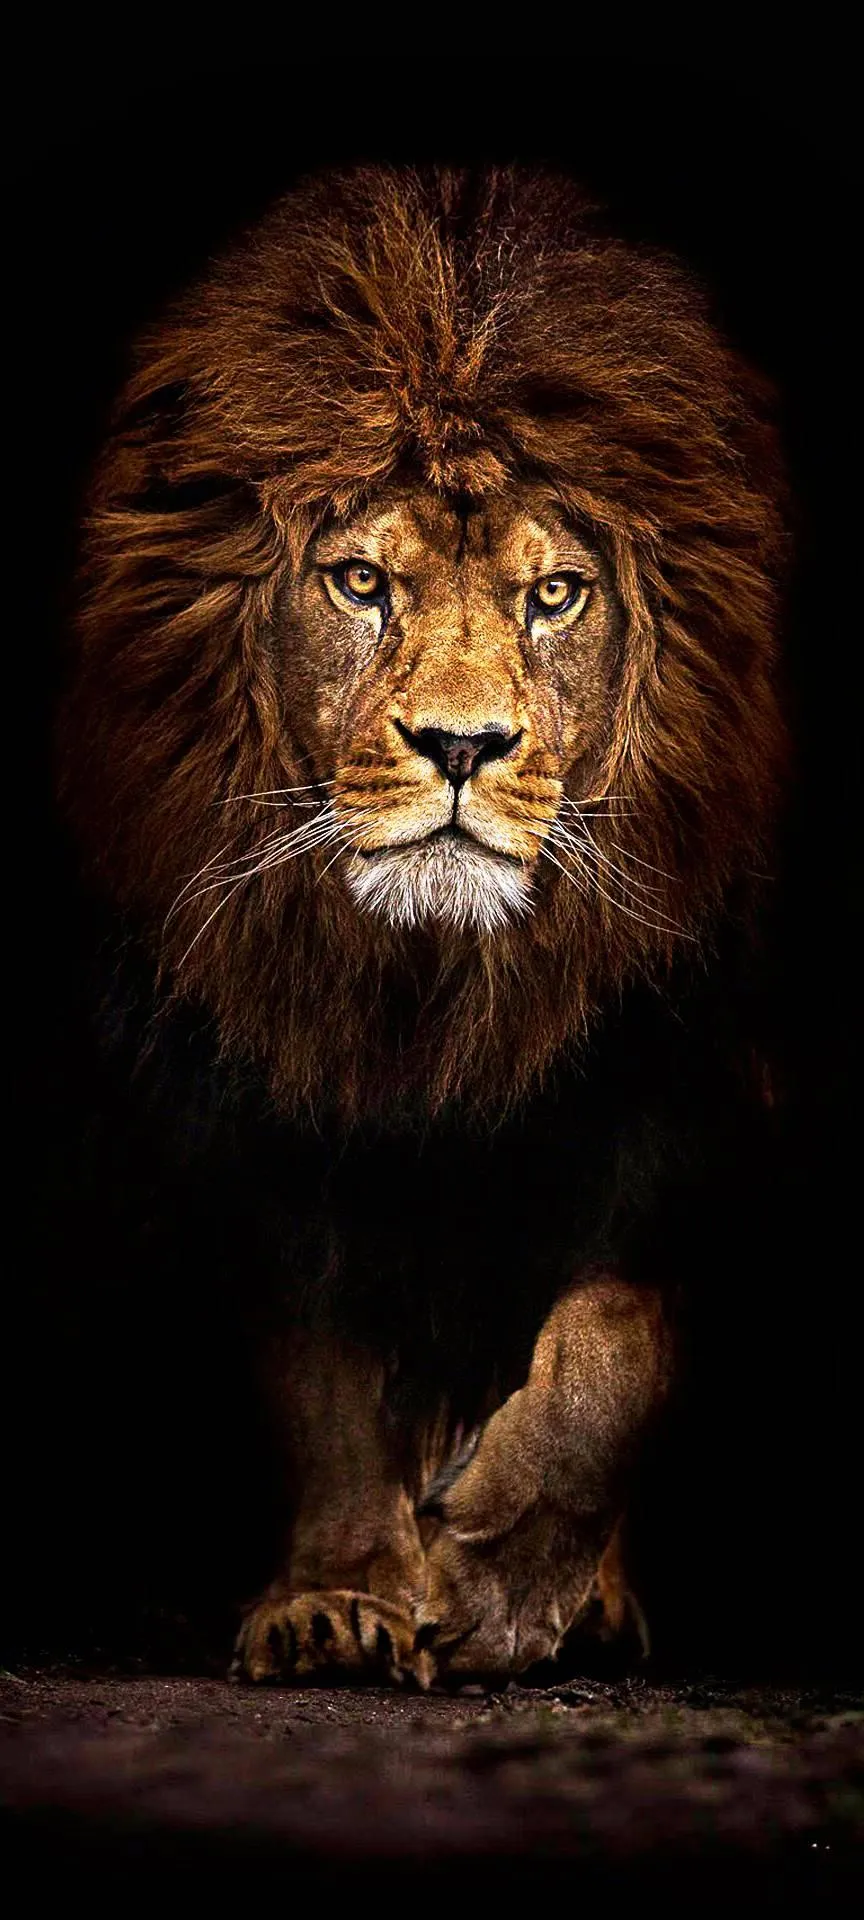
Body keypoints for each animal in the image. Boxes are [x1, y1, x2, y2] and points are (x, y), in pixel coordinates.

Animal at [60, 164, 787, 1684]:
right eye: (360, 582)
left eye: (554, 593)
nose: (462, 745)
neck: (434, 989)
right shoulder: (261, 1098)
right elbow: (321, 1366)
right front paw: (342, 1595)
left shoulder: (691, 1082)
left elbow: (616, 1336)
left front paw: (504, 1582)